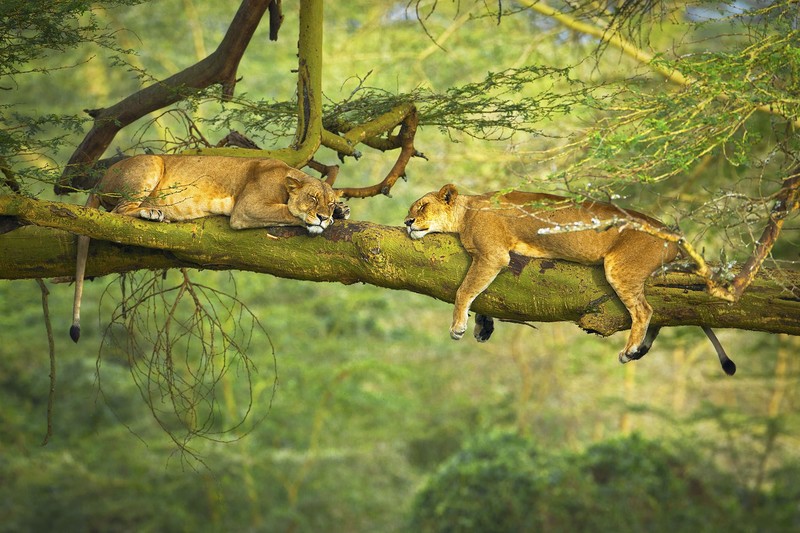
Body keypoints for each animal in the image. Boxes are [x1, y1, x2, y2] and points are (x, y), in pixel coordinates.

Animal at [70, 154, 349, 342]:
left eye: (328, 201)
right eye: (312, 198)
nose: (324, 216)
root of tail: (101, 179)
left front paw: (341, 210)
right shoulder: (247, 208)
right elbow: (288, 212)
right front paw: (318, 220)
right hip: (150, 165)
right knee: (119, 212)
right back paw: (152, 213)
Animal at [404, 183, 735, 375]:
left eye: (422, 206)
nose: (406, 222)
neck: (466, 213)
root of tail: (669, 231)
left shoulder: (493, 255)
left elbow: (465, 289)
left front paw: (458, 327)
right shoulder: (497, 260)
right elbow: (483, 293)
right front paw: (483, 326)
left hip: (620, 266)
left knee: (645, 310)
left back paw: (629, 350)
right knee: (661, 310)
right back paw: (638, 350)